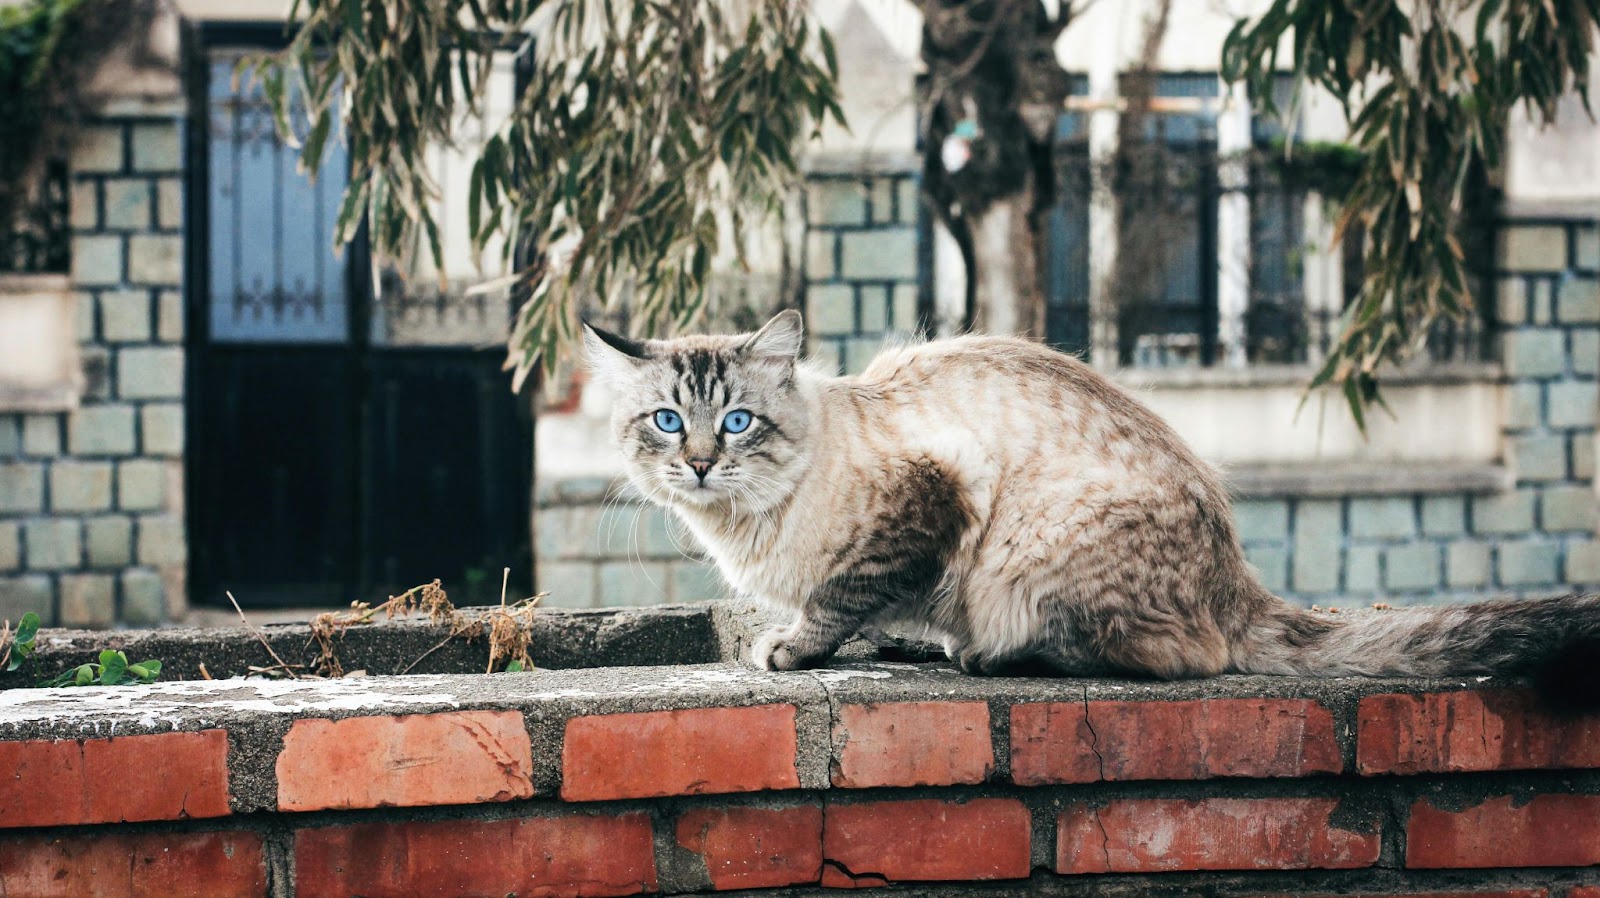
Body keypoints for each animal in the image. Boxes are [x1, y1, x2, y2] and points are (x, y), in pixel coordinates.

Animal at [582, 312, 1600, 704]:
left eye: (738, 422)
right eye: (669, 421)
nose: (702, 464)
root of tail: (1236, 579)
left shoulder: (932, 498)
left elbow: (841, 601)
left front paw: (792, 647)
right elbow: (860, 609)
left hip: (1032, 558)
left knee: (1176, 658)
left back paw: (991, 655)